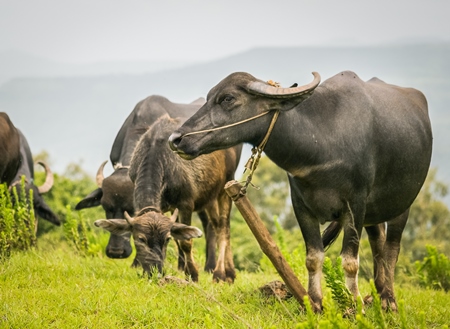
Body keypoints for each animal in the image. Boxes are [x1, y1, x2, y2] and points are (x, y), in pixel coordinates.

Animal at [95, 115, 243, 282]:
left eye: (166, 239)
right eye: (140, 239)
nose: (155, 272)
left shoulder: (186, 204)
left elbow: (185, 242)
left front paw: (193, 274)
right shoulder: (167, 207)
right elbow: (178, 237)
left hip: (227, 186)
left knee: (224, 228)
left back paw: (223, 273)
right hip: (209, 197)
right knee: (216, 226)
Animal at [169, 70, 432, 310]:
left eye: (227, 98)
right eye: (209, 97)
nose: (176, 139)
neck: (321, 143)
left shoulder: (355, 205)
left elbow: (350, 261)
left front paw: (353, 305)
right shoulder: (301, 206)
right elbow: (313, 258)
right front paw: (315, 303)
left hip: (403, 204)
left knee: (391, 249)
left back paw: (388, 299)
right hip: (374, 213)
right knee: (378, 243)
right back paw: (377, 293)